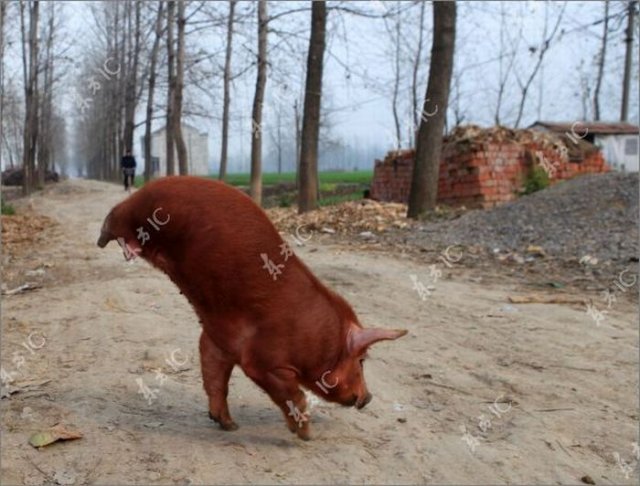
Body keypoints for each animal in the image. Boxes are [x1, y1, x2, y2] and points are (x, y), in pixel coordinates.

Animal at [97, 176, 408, 440]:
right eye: (362, 360)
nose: (368, 397)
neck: (317, 339)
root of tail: (146, 188)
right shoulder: (262, 361)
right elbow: (292, 395)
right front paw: (306, 436)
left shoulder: (218, 341)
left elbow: (215, 380)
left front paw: (229, 425)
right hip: (131, 213)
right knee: (112, 218)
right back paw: (103, 240)